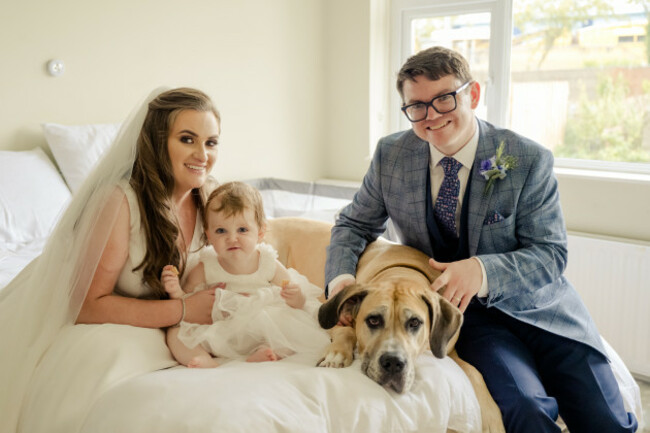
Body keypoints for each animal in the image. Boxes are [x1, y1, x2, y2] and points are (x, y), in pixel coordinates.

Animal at [316, 240, 504, 432]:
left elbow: (474, 372)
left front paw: (493, 420)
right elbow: (345, 331)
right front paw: (337, 355)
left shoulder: (448, 350)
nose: (393, 363)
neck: (401, 273)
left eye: (414, 322)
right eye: (373, 320)